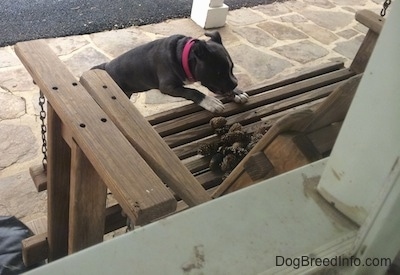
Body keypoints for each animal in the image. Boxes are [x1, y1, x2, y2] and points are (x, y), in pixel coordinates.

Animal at [91, 30, 247, 112]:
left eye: (231, 68)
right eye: (218, 73)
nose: (235, 83)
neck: (183, 55)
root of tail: (105, 67)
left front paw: (238, 93)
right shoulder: (168, 87)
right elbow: (192, 91)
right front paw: (209, 102)